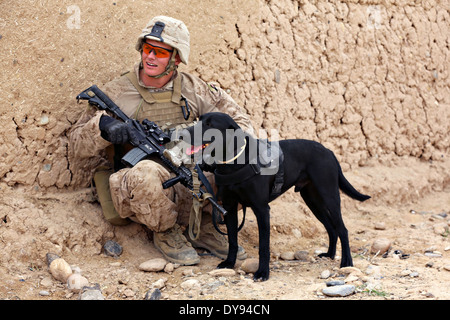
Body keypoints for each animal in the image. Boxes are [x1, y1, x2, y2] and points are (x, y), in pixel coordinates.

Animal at [183, 112, 370, 280]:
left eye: (209, 124)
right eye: (198, 120)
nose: (183, 133)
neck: (233, 162)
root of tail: (329, 151)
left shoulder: (262, 209)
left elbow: (263, 246)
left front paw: (262, 272)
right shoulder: (229, 208)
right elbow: (233, 241)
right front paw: (229, 263)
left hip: (329, 196)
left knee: (342, 229)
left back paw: (346, 262)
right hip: (313, 201)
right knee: (331, 228)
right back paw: (330, 254)